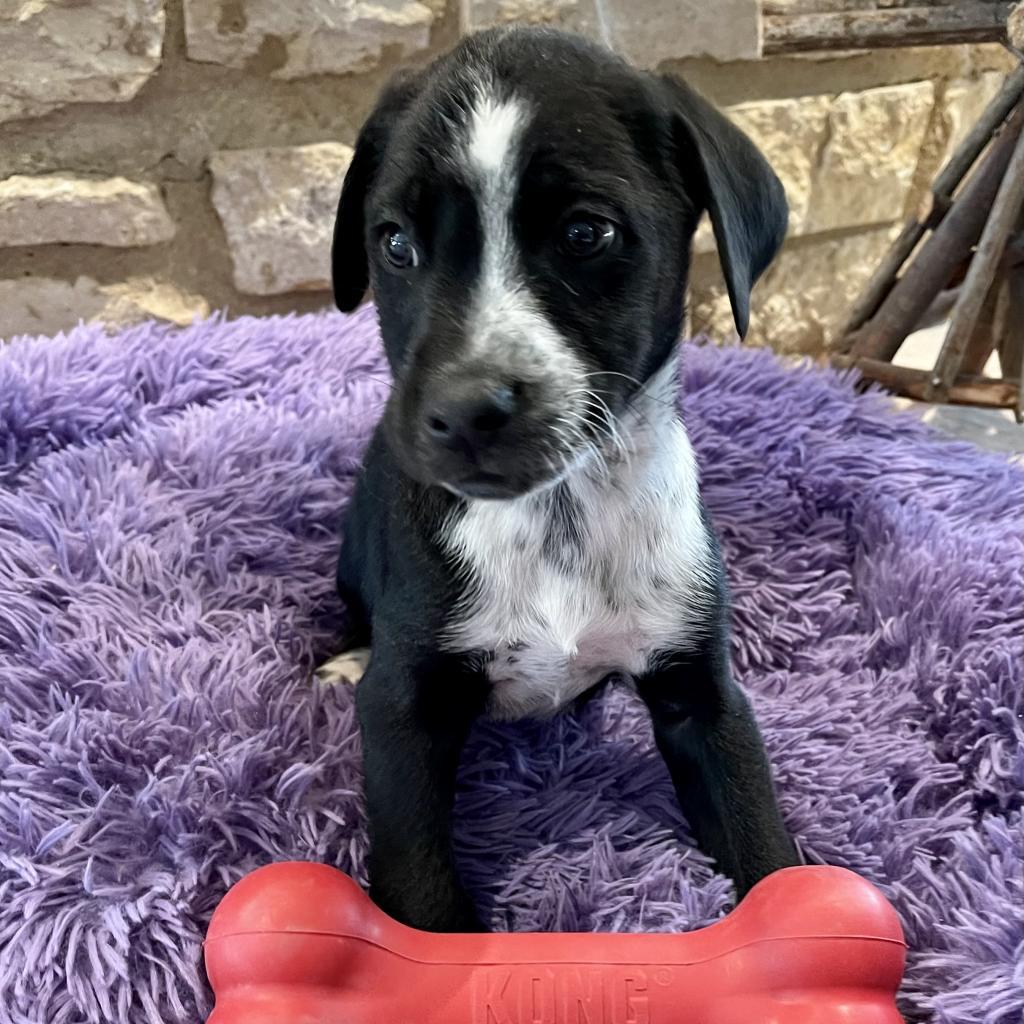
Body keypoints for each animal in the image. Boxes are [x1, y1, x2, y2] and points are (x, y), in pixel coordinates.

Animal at [319, 25, 798, 937]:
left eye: (586, 234)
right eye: (395, 244)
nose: (465, 412)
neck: (558, 513)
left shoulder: (705, 697)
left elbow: (762, 840)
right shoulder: (401, 712)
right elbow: (421, 886)